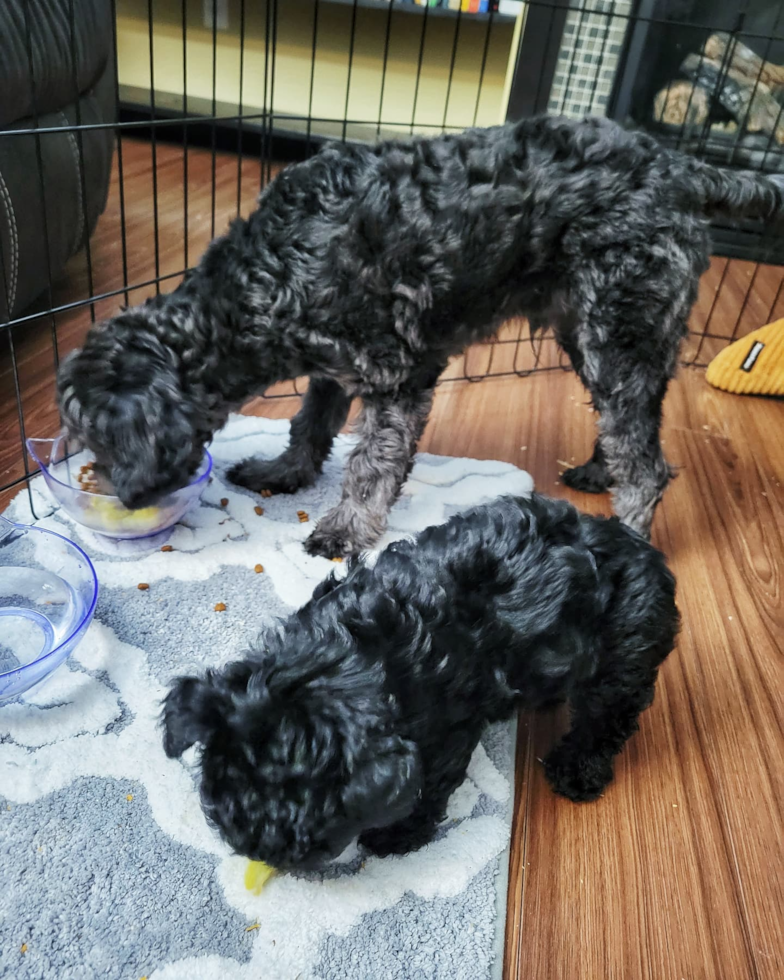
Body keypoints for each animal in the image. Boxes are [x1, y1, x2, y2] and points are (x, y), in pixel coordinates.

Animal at [56, 114, 784, 556]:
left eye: (96, 437)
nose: (111, 491)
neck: (265, 276)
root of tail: (681, 167)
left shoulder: (399, 375)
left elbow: (372, 466)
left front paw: (346, 530)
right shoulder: (331, 369)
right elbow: (310, 426)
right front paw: (283, 473)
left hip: (619, 332)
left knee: (647, 463)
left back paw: (626, 537)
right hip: (587, 332)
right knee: (625, 429)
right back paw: (595, 470)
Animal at [161, 494, 680, 868]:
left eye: (311, 839)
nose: (253, 852)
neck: (343, 659)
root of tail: (643, 548)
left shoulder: (446, 727)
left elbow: (430, 783)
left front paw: (396, 835)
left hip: (625, 651)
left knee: (607, 716)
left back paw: (577, 769)